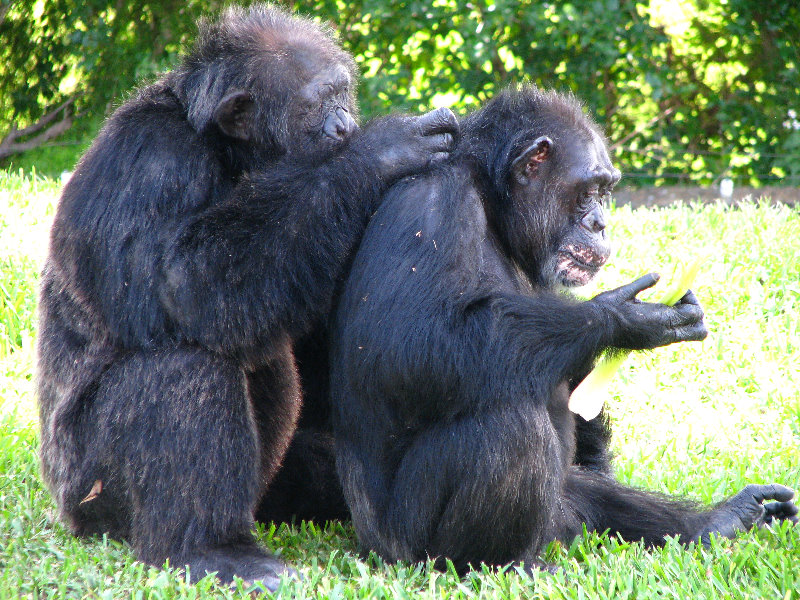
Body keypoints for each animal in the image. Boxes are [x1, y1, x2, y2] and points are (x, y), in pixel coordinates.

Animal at [37, 2, 456, 588]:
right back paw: (213, 549)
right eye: (318, 104)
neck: (229, 155)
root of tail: (65, 512)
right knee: (182, 370)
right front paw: (381, 149)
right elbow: (182, 284)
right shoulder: (149, 162)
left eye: (342, 93)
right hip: (89, 498)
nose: (346, 124)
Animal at [328, 84, 796, 572]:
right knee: (509, 426)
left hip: (560, 512)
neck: (494, 209)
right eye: (589, 192)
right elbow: (406, 345)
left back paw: (717, 521)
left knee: (584, 494)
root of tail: (369, 544)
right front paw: (624, 319)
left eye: (607, 192)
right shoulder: (429, 208)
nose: (601, 222)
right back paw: (497, 565)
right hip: (405, 544)